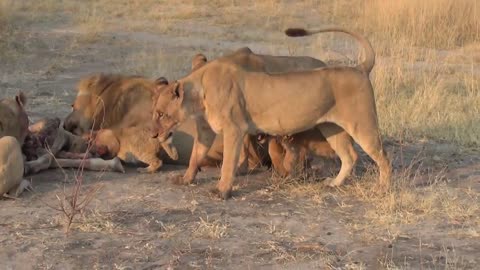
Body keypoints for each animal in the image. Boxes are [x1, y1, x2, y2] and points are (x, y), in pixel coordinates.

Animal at [152, 27, 392, 199]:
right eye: (155, 112)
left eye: (162, 114)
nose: (153, 135)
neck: (199, 94)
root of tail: (359, 68)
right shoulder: (205, 130)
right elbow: (196, 155)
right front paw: (186, 179)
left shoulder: (234, 129)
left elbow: (229, 163)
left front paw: (222, 191)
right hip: (331, 127)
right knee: (349, 156)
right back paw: (334, 183)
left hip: (362, 124)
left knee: (383, 157)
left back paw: (382, 189)